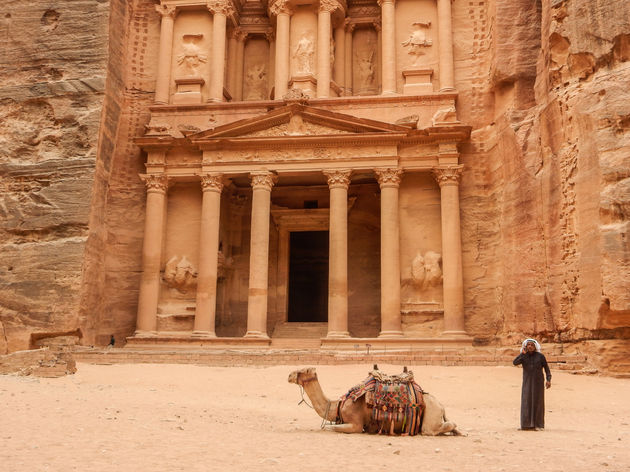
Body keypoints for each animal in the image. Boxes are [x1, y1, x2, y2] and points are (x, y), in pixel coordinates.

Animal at [290, 366, 464, 436]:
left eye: (303, 371)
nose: (289, 375)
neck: (338, 405)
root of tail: (441, 405)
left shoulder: (355, 424)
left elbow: (328, 428)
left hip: (431, 415)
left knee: (434, 428)